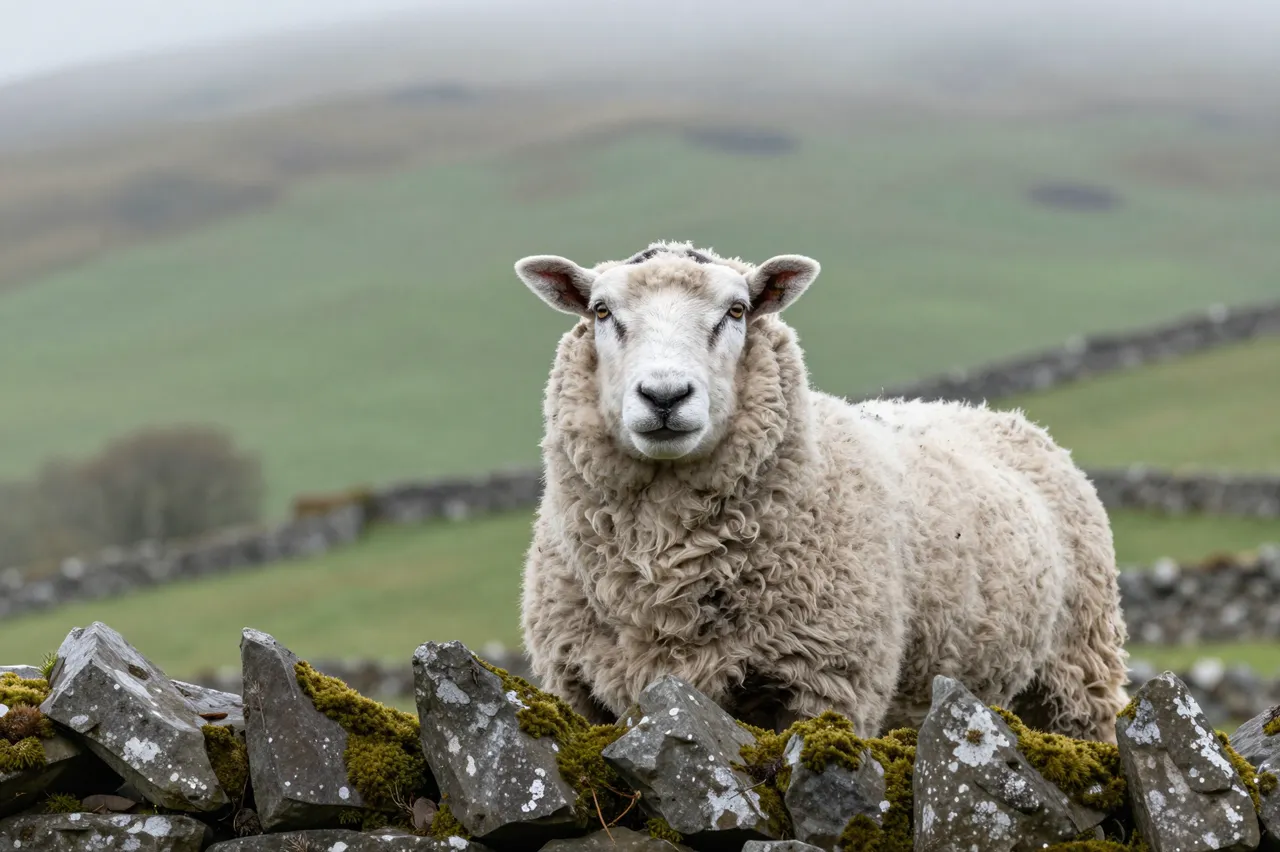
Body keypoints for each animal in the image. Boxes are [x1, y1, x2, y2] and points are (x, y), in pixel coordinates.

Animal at [512, 239, 1130, 742]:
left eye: (736, 311)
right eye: (601, 311)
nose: (665, 395)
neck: (663, 570)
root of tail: (1007, 417)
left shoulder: (829, 685)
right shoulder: (578, 691)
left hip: (1078, 673)